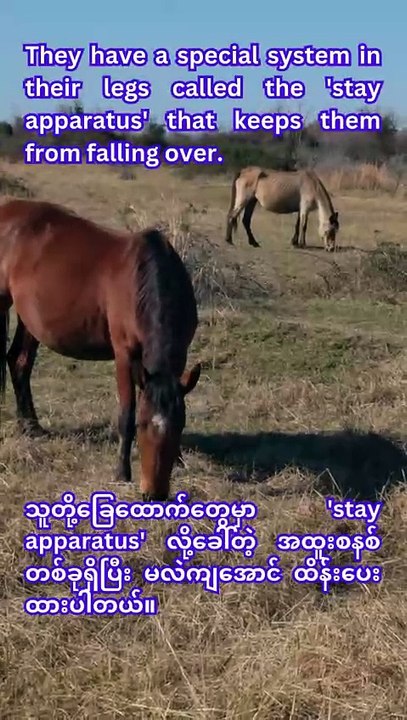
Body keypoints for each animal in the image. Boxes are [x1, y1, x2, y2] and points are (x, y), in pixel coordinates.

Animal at [0, 198, 201, 502]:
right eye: (142, 425)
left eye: (179, 426)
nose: (153, 494)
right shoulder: (125, 355)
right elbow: (126, 412)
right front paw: (121, 471)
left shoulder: (178, 358)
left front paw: (178, 460)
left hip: (30, 318)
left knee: (19, 362)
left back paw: (31, 426)